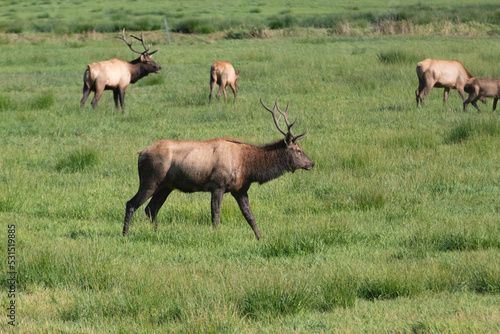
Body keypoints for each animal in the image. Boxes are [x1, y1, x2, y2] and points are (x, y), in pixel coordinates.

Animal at [123, 98, 314, 239]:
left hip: (166, 186)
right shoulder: (217, 185)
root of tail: (141, 153)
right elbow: (216, 215)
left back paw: (156, 232)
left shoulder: (240, 189)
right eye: (298, 150)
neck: (248, 167)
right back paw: (125, 235)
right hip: (150, 181)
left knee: (151, 209)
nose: (311, 163)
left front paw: (260, 238)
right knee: (131, 204)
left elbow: (250, 216)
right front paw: (215, 237)